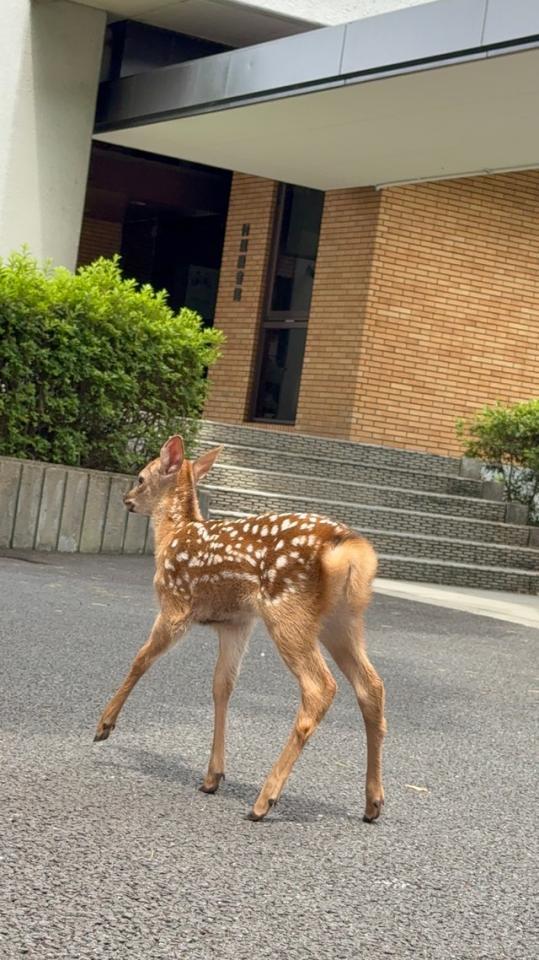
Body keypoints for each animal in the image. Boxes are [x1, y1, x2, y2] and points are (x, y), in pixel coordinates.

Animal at [93, 435, 386, 823]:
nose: (126, 499)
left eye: (141, 477)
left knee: (320, 687)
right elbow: (222, 686)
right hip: (343, 620)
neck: (172, 535)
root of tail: (349, 548)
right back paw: (373, 802)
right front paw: (212, 777)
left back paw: (264, 799)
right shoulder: (236, 622)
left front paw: (104, 726)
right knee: (371, 686)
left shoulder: (176, 605)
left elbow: (140, 660)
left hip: (288, 611)